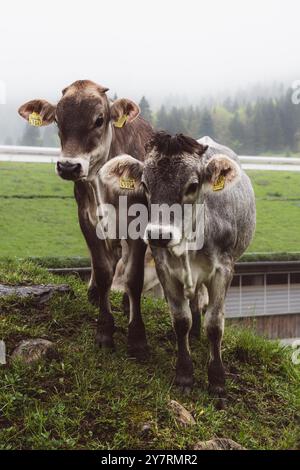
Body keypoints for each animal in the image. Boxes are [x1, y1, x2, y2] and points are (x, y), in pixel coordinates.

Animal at [103, 134, 255, 402]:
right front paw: (185, 375)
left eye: (192, 185)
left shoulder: (224, 270)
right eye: (145, 184)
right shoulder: (165, 269)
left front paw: (217, 382)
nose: (159, 234)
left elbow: (215, 324)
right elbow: (180, 320)